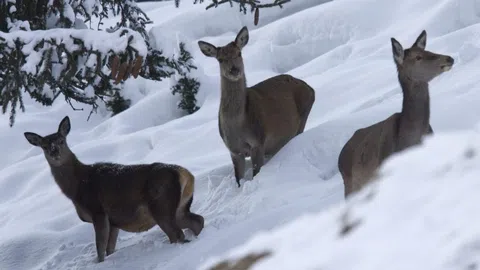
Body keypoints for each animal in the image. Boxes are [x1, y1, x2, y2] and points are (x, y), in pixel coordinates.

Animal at [23, 115, 203, 262]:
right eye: (44, 146)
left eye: (62, 140)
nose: (55, 152)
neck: (77, 188)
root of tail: (185, 174)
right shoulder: (114, 221)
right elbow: (110, 249)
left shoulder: (98, 211)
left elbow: (100, 250)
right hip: (179, 207)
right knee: (197, 221)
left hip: (161, 205)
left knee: (178, 234)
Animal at [197, 26, 316, 187]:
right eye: (220, 59)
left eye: (239, 53)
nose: (234, 70)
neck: (237, 126)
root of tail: (310, 88)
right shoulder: (233, 150)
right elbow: (238, 180)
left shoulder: (258, 141)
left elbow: (256, 173)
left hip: (303, 115)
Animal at [338, 29, 454, 198]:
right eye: (418, 57)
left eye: (427, 50)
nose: (449, 58)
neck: (409, 142)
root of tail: (339, 157)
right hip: (351, 186)